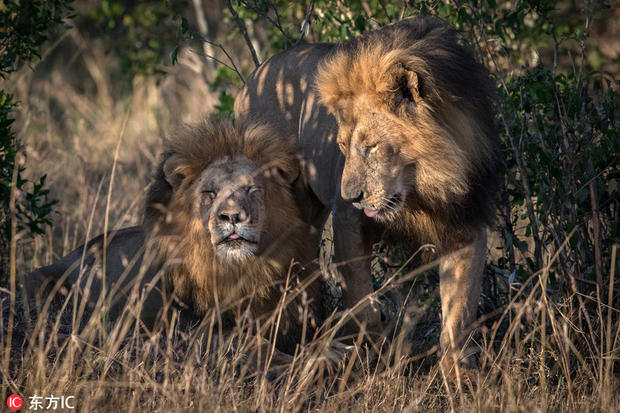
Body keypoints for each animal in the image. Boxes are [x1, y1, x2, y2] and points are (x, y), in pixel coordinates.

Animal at [25, 114, 324, 356]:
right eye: (210, 193)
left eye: (252, 189)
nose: (231, 217)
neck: (236, 271)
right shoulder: (189, 330)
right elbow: (253, 343)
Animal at [235, 16, 502, 370]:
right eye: (342, 146)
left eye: (371, 146)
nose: (351, 196)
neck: (423, 189)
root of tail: (252, 78)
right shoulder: (349, 223)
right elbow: (363, 305)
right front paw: (368, 357)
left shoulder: (467, 224)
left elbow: (459, 314)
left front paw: (459, 374)